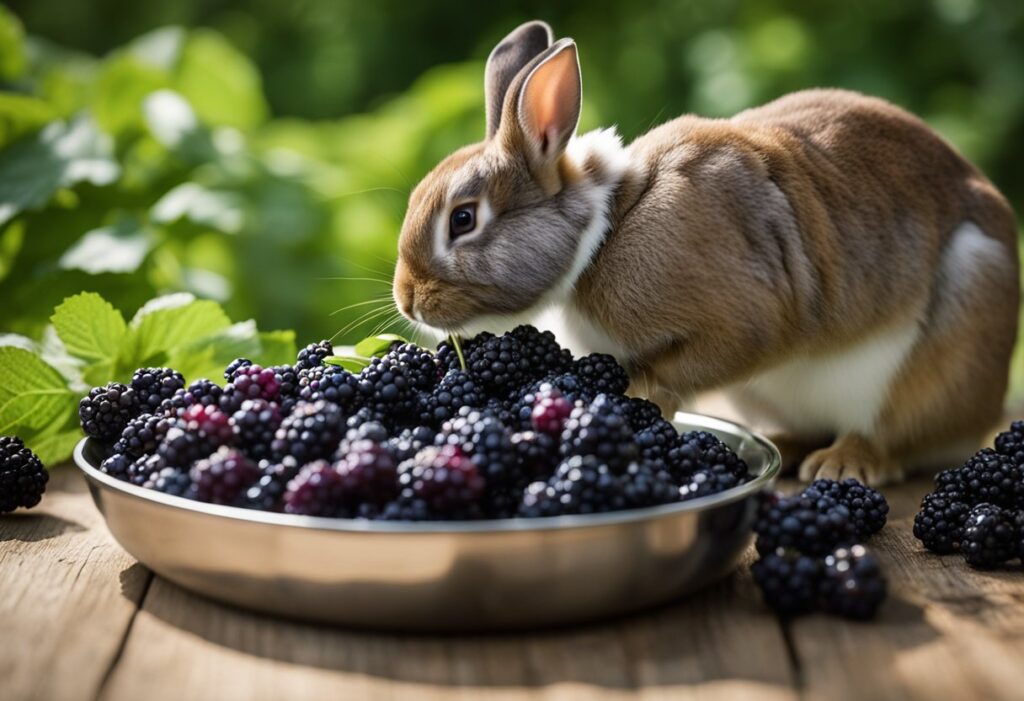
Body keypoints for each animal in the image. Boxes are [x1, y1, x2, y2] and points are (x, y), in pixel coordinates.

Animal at [392, 20, 1020, 485]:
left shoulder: (743, 322)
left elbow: (691, 363)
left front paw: (639, 398)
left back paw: (845, 463)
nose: (408, 300)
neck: (605, 229)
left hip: (954, 326)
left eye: (463, 219)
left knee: (895, 435)